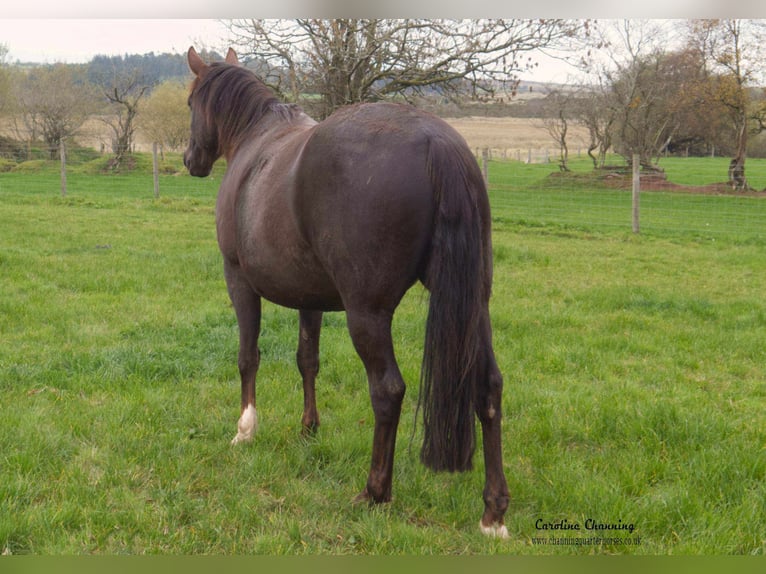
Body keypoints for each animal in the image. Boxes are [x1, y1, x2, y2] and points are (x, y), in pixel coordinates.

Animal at [183, 47, 510, 538]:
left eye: (189, 104)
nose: (190, 159)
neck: (255, 143)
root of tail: (437, 142)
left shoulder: (238, 279)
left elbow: (247, 356)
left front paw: (245, 429)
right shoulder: (310, 299)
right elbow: (307, 359)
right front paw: (308, 429)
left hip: (367, 314)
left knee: (388, 391)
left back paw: (375, 491)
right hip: (474, 307)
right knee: (487, 387)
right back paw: (493, 513)